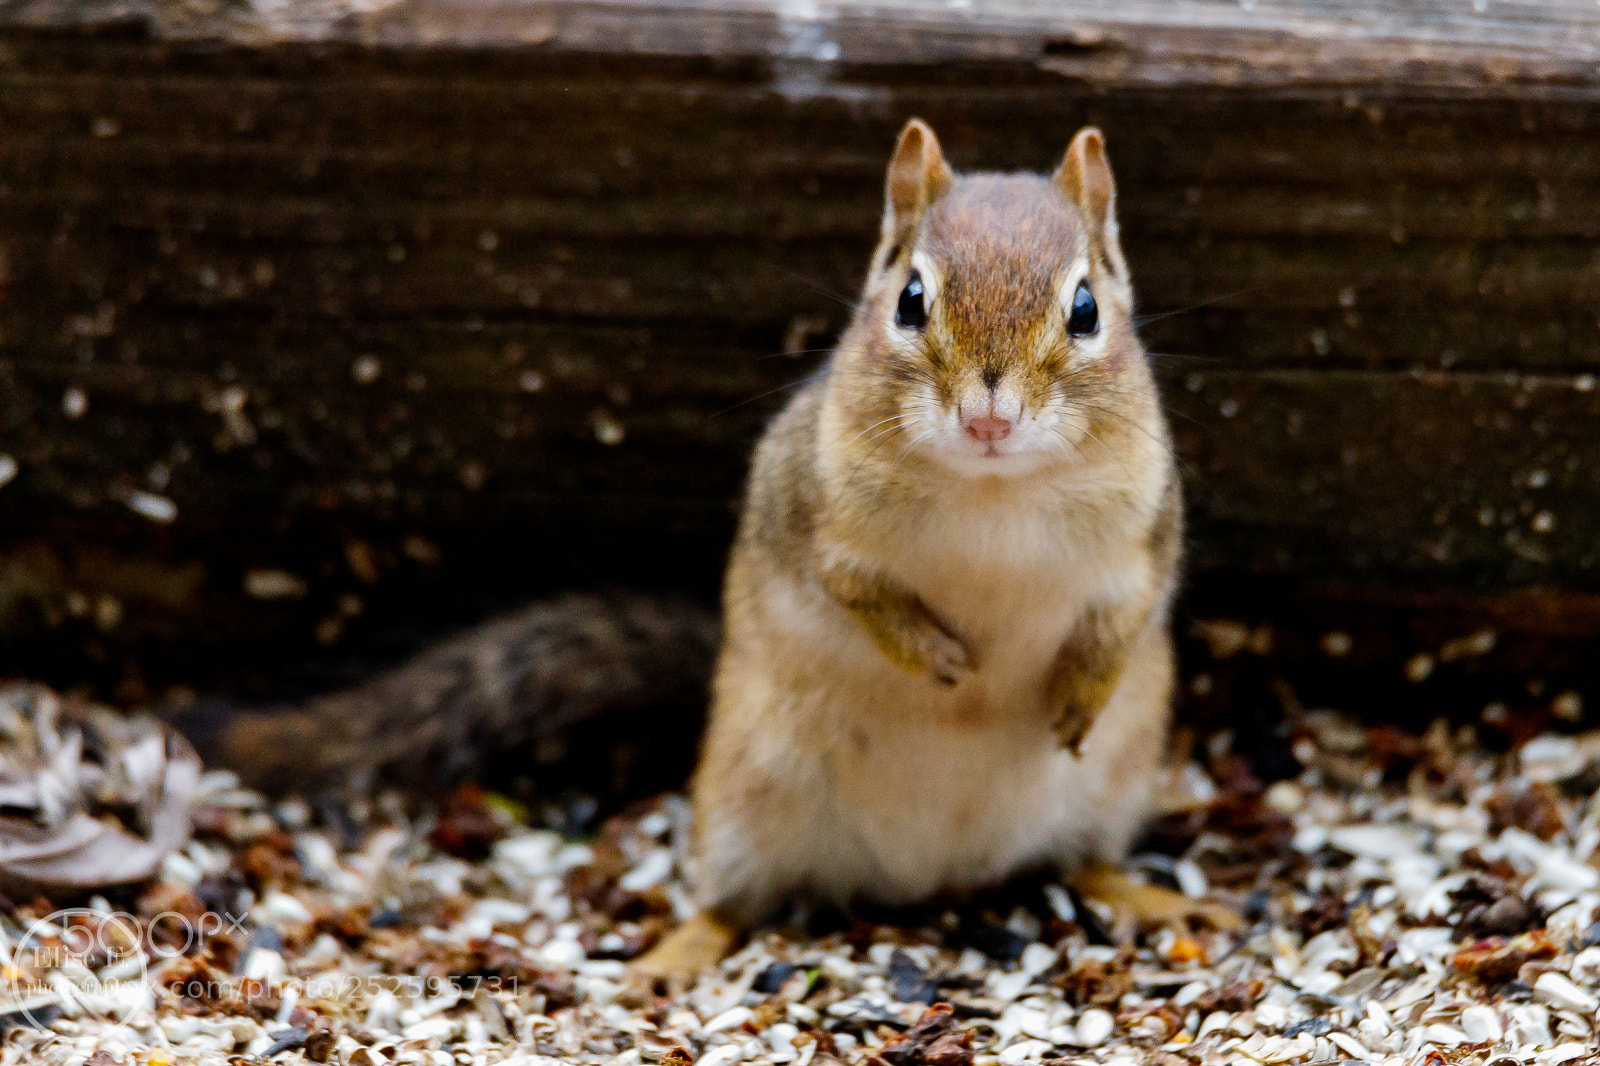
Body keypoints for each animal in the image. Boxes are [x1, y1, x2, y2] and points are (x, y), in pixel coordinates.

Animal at [636, 120, 1231, 977]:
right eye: (910, 301)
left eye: (1087, 309)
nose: (990, 418)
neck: (993, 490)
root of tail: (931, 877)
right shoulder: (815, 523)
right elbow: (858, 593)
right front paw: (940, 658)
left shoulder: (1144, 545)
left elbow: (1125, 618)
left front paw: (1079, 692)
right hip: (742, 798)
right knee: (728, 906)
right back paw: (671, 959)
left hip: (1108, 791)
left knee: (1085, 864)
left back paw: (1158, 901)